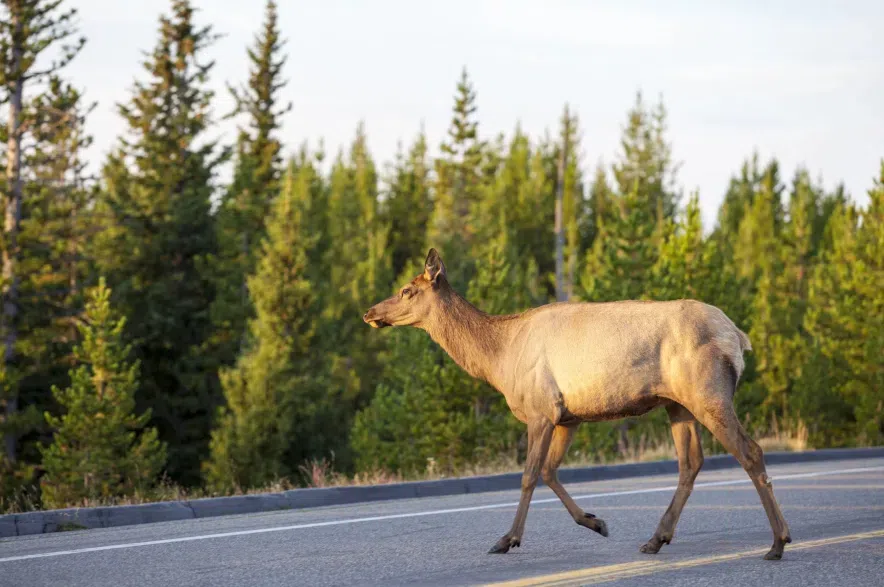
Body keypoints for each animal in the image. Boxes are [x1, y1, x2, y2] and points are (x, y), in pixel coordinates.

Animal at [362, 248, 792, 560]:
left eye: (406, 290)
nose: (370, 312)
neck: (498, 359)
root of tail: (737, 337)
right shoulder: (568, 416)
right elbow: (550, 471)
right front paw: (595, 521)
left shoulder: (540, 410)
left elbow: (529, 475)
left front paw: (508, 539)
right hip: (677, 404)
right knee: (691, 462)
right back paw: (656, 538)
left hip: (708, 393)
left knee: (750, 451)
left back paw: (778, 542)